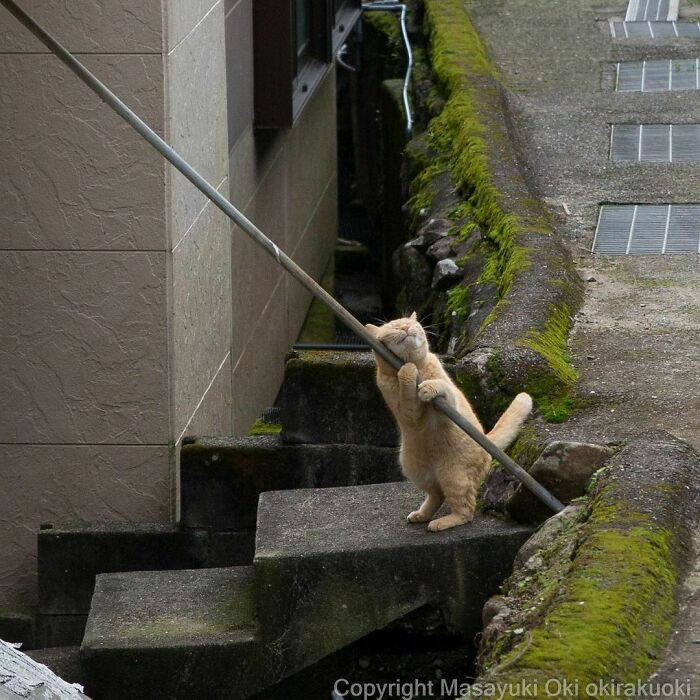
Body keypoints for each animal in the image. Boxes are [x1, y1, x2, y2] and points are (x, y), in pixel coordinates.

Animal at [364, 312, 532, 532]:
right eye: (394, 327)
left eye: (409, 323)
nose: (406, 328)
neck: (417, 367)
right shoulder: (409, 413)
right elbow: (408, 391)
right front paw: (407, 372)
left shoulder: (449, 404)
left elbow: (441, 386)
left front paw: (425, 385)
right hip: (416, 471)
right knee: (439, 496)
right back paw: (422, 515)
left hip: (453, 475)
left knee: (466, 510)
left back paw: (442, 522)